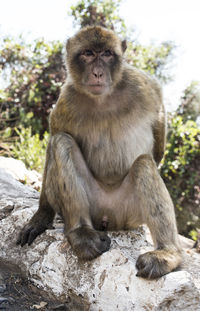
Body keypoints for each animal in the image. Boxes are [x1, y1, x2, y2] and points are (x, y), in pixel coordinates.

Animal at [17, 26, 182, 280]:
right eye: (87, 53)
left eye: (106, 54)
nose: (97, 73)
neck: (103, 98)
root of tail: (108, 219)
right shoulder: (66, 100)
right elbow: (55, 139)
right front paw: (42, 215)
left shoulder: (144, 86)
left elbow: (158, 138)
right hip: (94, 207)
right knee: (61, 143)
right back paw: (82, 234)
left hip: (129, 213)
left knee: (144, 164)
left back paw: (166, 254)